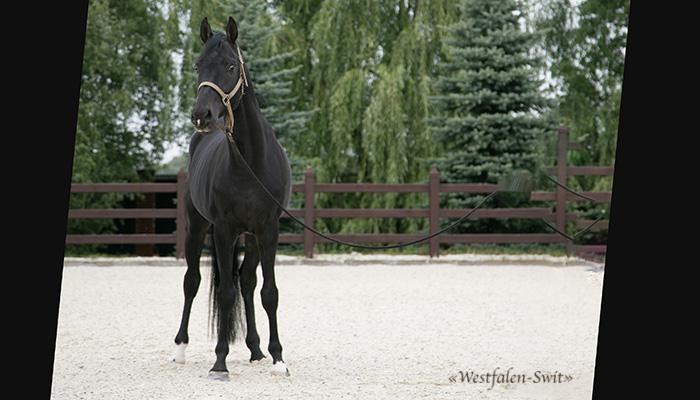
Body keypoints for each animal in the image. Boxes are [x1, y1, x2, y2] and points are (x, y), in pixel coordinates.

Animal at [171, 16, 292, 380]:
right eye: (198, 65)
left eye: (229, 65)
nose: (202, 115)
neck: (250, 161)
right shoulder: (223, 230)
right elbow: (225, 293)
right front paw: (220, 361)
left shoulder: (268, 230)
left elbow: (268, 292)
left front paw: (278, 358)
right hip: (198, 228)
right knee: (193, 281)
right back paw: (180, 349)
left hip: (249, 237)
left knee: (247, 281)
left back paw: (255, 349)